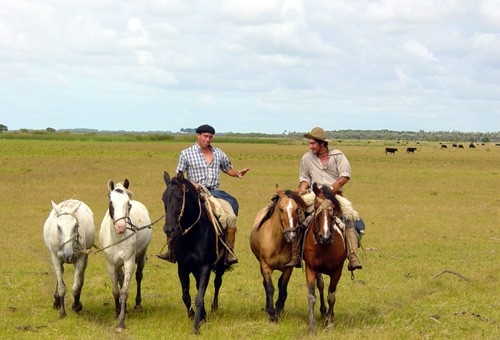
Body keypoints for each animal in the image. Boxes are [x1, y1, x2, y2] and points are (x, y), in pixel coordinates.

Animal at [98, 179, 151, 334]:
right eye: (111, 202)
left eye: (128, 204)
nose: (121, 227)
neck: (117, 238)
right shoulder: (111, 264)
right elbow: (116, 291)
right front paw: (117, 312)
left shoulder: (129, 262)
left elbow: (124, 292)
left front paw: (121, 323)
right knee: (120, 279)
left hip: (141, 255)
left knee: (139, 276)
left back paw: (137, 305)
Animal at [163, 171, 233, 334]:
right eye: (163, 199)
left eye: (179, 197)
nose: (169, 230)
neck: (193, 234)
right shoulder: (183, 267)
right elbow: (187, 296)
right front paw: (196, 317)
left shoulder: (205, 267)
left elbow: (199, 298)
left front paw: (196, 326)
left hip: (220, 266)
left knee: (217, 282)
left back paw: (214, 308)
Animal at [250, 185, 308, 322]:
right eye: (281, 209)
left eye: (297, 209)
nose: (291, 235)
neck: (278, 243)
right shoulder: (265, 266)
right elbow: (270, 287)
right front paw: (272, 314)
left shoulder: (288, 269)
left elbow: (282, 288)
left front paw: (279, 309)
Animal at [302, 185, 346, 334]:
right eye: (316, 207)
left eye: (332, 209)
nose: (324, 236)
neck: (325, 246)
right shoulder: (310, 268)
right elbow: (311, 296)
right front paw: (311, 327)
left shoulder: (337, 271)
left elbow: (331, 296)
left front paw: (329, 323)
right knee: (320, 285)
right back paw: (322, 311)